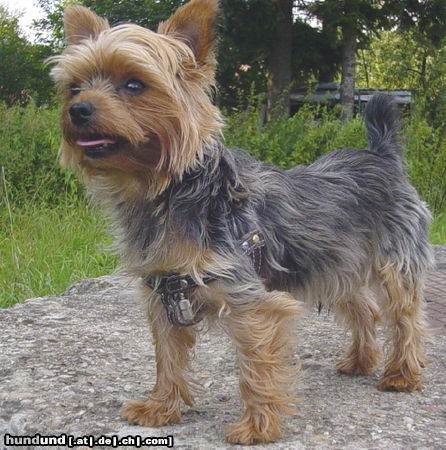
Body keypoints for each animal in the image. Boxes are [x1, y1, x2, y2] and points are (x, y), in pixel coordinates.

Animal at [50, 0, 434, 442]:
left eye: (134, 84)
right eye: (74, 87)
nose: (78, 109)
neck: (167, 192)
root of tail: (381, 156)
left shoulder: (250, 299)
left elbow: (256, 364)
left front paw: (257, 426)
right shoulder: (164, 290)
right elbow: (166, 355)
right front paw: (159, 407)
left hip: (393, 262)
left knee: (405, 316)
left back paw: (401, 374)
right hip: (335, 262)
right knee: (364, 308)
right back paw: (360, 360)